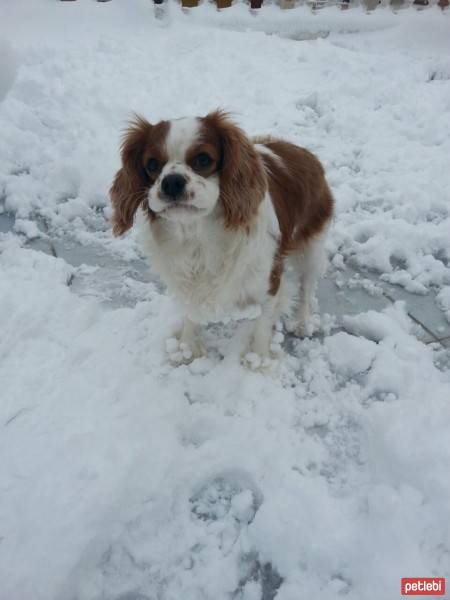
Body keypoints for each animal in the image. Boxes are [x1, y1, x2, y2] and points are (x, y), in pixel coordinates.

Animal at [109, 110, 334, 368]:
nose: (172, 181)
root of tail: (304, 153)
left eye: (203, 159)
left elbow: (263, 323)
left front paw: (259, 362)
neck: (198, 233)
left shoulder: (268, 278)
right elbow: (191, 311)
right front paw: (187, 349)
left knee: (307, 286)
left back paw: (302, 322)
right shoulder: (189, 277)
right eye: (152, 164)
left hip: (311, 247)